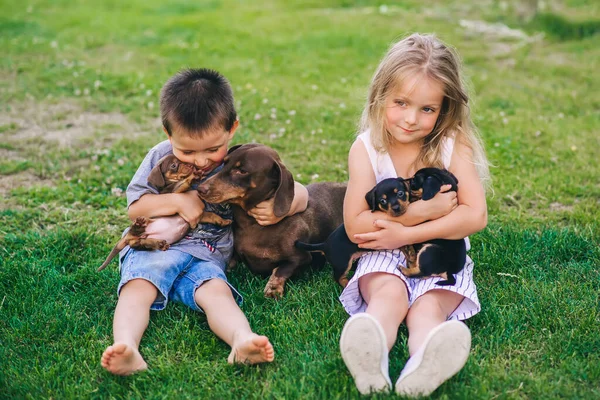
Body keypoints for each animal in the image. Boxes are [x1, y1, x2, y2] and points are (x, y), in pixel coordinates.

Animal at [97, 155, 231, 270]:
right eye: (173, 165)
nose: (190, 165)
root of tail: (129, 235)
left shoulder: (200, 216)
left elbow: (212, 215)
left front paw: (223, 221)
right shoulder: (175, 192)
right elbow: (184, 183)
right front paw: (194, 176)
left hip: (140, 241)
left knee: (140, 243)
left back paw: (157, 243)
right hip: (142, 225)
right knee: (136, 236)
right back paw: (139, 226)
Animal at [198, 143, 346, 296]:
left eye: (242, 171)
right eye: (225, 163)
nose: (200, 189)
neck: (251, 224)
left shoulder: (302, 258)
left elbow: (280, 269)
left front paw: (273, 288)